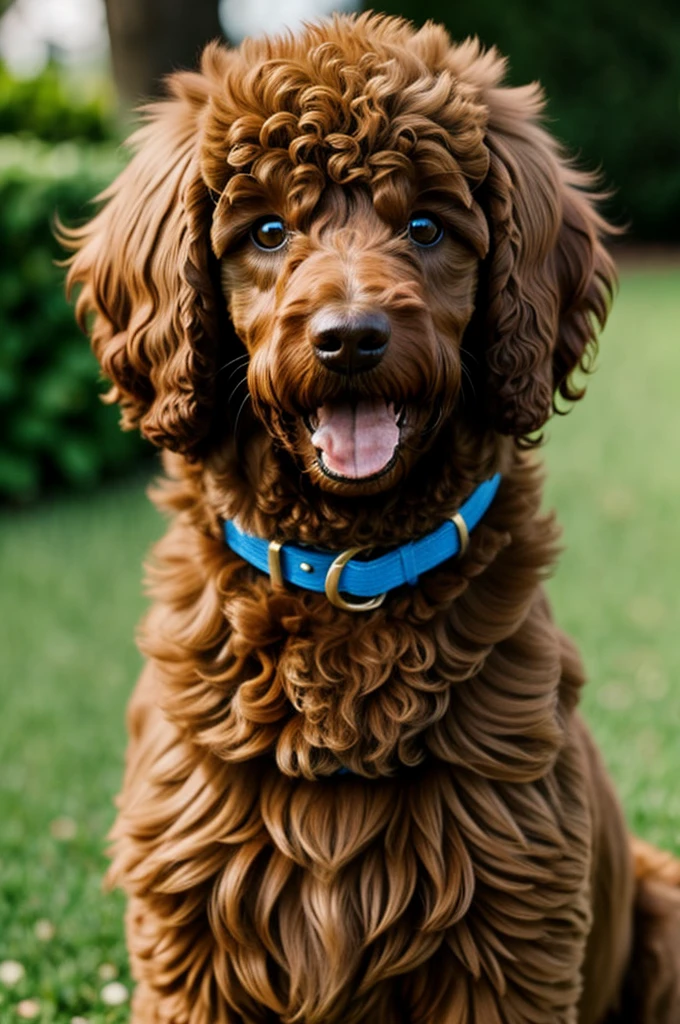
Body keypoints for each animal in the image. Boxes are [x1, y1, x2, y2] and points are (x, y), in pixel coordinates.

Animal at [63, 9, 680, 1024]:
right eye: (268, 230)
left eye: (426, 226)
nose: (350, 338)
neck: (347, 572)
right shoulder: (193, 939)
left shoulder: (507, 930)